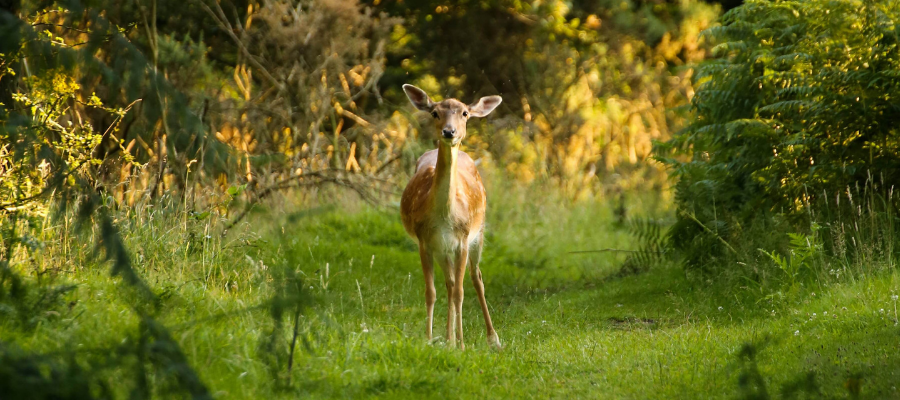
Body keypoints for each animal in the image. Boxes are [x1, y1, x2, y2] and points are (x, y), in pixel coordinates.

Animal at [400, 85, 502, 350]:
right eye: (435, 112)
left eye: (465, 113)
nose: (449, 131)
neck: (446, 216)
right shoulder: (425, 241)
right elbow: (431, 292)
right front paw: (430, 340)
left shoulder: (463, 240)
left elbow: (460, 293)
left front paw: (463, 345)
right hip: (442, 249)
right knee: (450, 283)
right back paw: (449, 339)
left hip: (479, 232)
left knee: (476, 279)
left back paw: (492, 338)